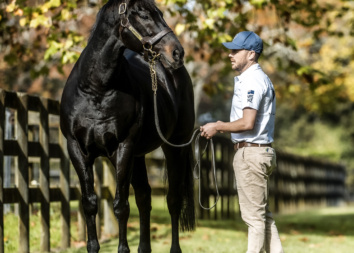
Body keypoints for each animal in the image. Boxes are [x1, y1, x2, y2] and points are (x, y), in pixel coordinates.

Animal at [59, 0, 195, 253]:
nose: (177, 52)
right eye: (144, 15)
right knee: (144, 197)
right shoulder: (77, 150)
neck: (96, 90)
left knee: (173, 200)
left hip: (174, 147)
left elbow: (121, 205)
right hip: (139, 156)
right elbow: (89, 203)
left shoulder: (123, 148)